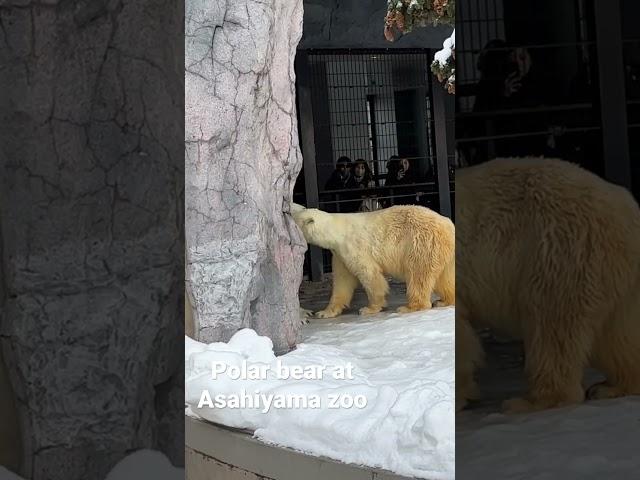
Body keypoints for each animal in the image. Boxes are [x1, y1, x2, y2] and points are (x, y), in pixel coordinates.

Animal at [290, 203, 456, 318]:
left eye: (293, 214)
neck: (337, 231)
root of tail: (449, 226)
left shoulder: (354, 247)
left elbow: (370, 275)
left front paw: (369, 308)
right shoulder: (339, 255)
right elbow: (342, 282)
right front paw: (324, 312)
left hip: (421, 244)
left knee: (418, 276)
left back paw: (410, 307)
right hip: (441, 252)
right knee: (444, 278)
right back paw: (444, 301)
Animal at [458, 158, 640, 412]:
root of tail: (627, 208)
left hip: (557, 251)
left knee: (550, 327)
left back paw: (530, 402)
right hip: (612, 271)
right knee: (617, 332)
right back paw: (612, 387)